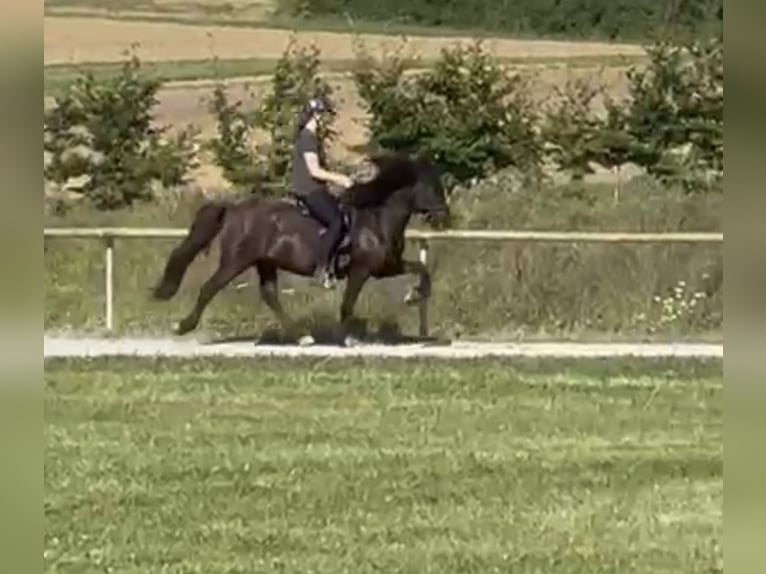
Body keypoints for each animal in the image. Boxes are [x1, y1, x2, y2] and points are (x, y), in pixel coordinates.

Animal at [151, 151, 450, 344]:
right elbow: (347, 303)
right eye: (432, 188)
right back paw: (182, 326)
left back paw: (301, 336)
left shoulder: (386, 266)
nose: (444, 218)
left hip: (264, 262)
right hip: (235, 261)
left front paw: (414, 295)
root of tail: (234, 209)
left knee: (270, 295)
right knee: (209, 288)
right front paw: (347, 338)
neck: (376, 219)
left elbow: (422, 270)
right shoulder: (361, 270)